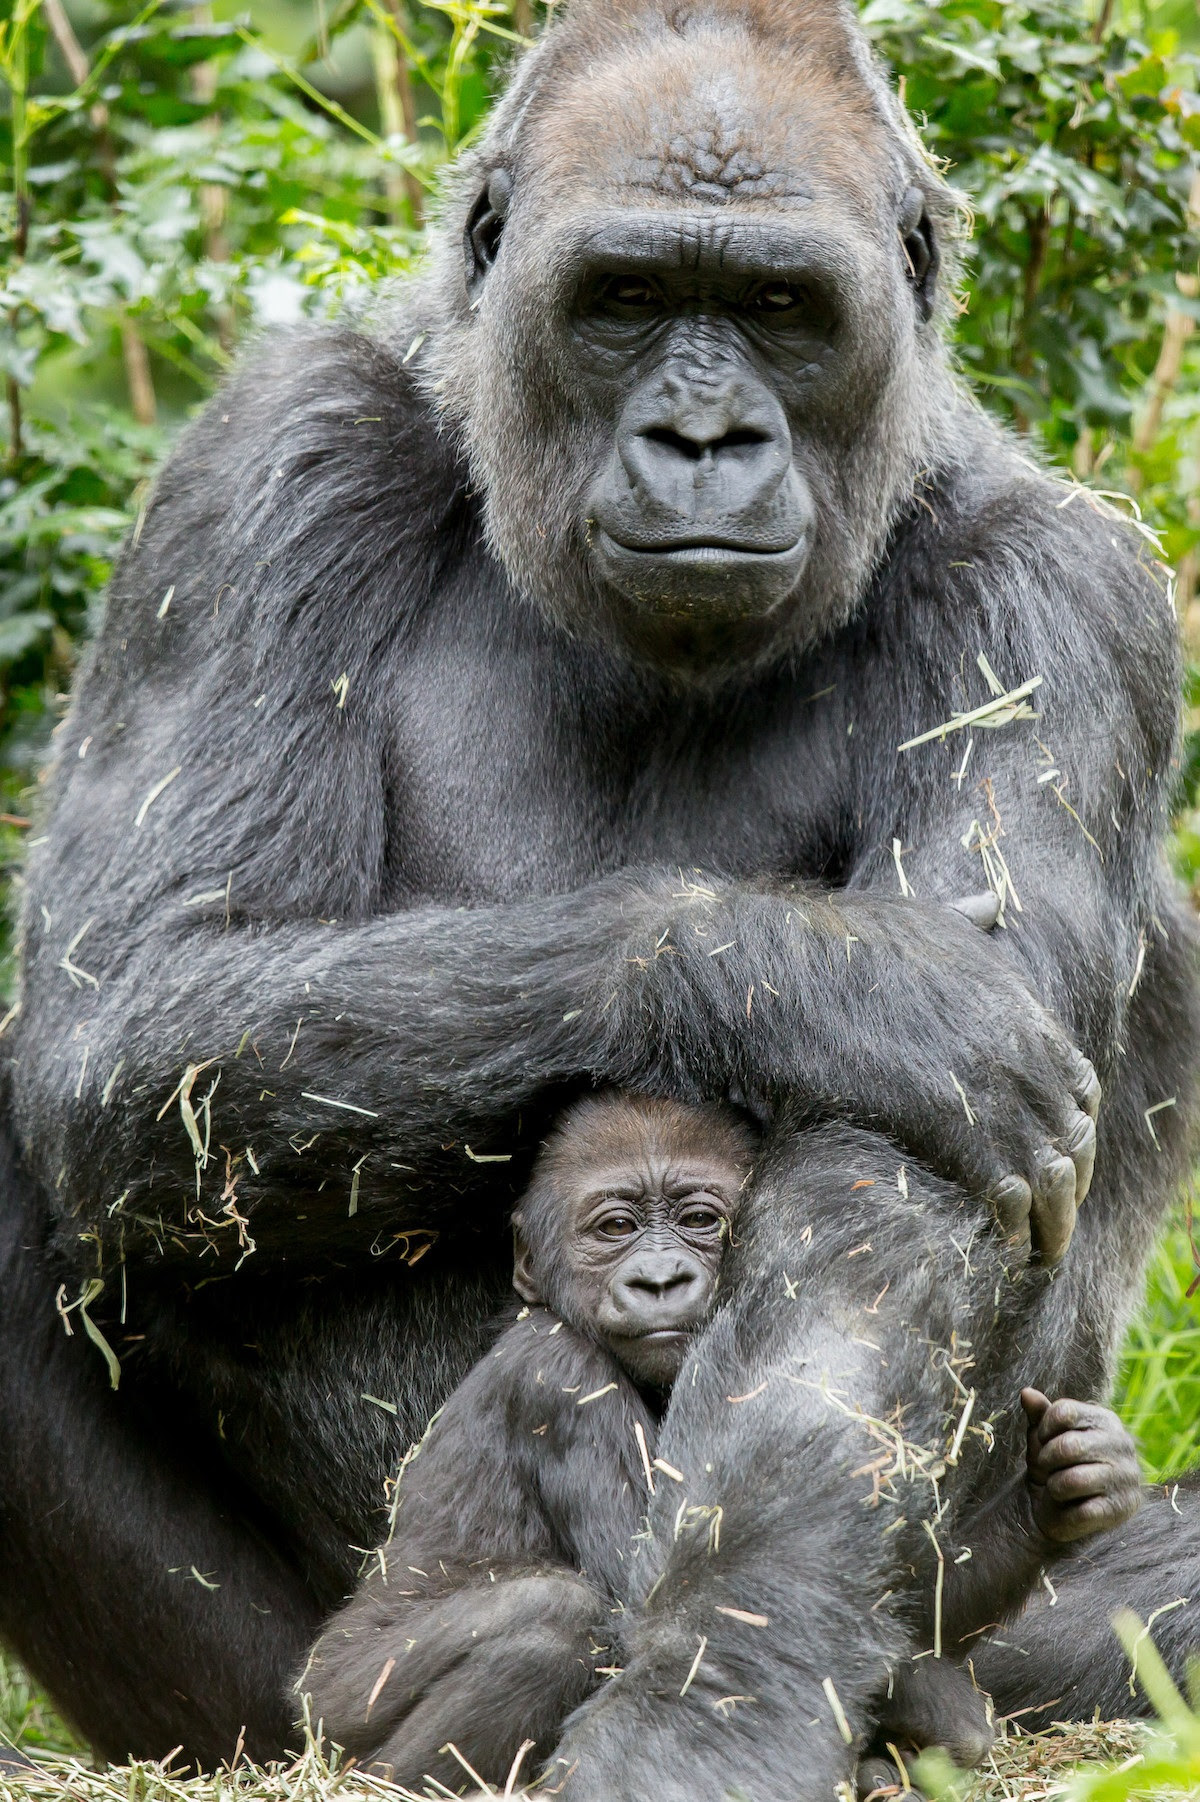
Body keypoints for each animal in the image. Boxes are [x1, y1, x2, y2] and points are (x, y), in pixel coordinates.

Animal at [299, 1088, 1138, 1794]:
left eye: (699, 1220)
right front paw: (928, 1713)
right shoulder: (561, 1377)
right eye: (615, 1228)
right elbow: (660, 1600)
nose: (660, 1280)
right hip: (335, 1699)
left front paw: (1052, 1500)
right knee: (549, 1623)